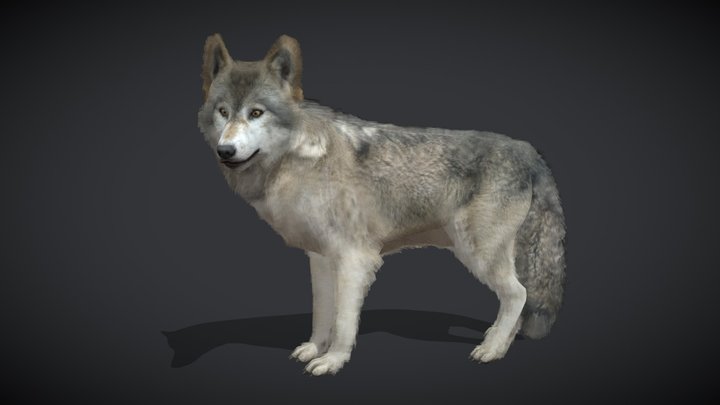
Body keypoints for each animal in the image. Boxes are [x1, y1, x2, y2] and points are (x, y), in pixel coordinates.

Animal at [197, 34, 566, 376]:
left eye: (256, 113)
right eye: (223, 112)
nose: (225, 150)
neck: (298, 161)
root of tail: (530, 152)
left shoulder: (354, 259)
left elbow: (344, 321)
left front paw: (332, 361)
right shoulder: (320, 258)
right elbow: (322, 313)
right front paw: (314, 349)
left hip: (477, 253)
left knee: (518, 295)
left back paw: (490, 350)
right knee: (516, 301)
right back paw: (499, 346)